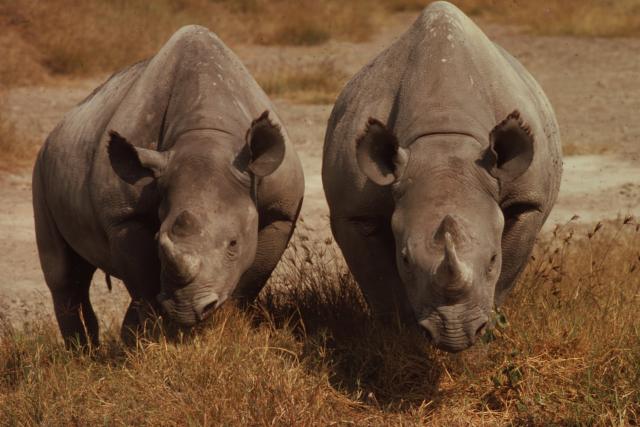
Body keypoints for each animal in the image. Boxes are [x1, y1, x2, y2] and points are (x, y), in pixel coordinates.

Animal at [33, 26, 304, 346]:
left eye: (234, 243)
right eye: (157, 239)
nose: (187, 309)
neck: (206, 133)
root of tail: (56, 129)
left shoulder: (279, 211)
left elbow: (251, 279)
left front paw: (230, 324)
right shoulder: (125, 216)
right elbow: (143, 284)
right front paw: (150, 338)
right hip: (40, 168)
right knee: (64, 276)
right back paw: (82, 353)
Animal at [322, 2, 562, 352]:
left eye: (493, 259)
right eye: (406, 259)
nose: (454, 335)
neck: (444, 137)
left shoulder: (527, 199)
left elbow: (508, 271)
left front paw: (487, 333)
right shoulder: (353, 208)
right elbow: (378, 281)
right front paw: (398, 337)